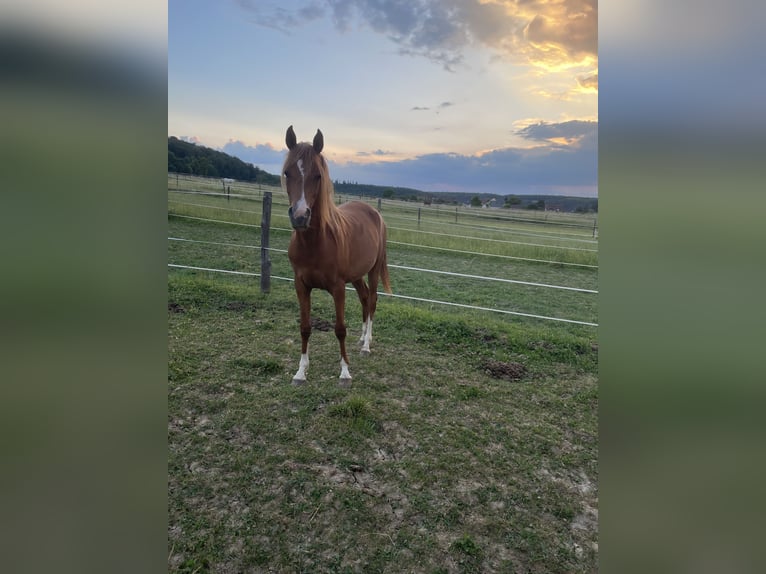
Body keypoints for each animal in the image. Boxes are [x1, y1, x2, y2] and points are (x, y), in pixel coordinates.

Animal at [282, 126, 392, 388]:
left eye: (318, 176)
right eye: (287, 172)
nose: (300, 217)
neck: (315, 243)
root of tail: (374, 212)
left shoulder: (338, 288)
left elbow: (340, 328)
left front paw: (344, 373)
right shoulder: (301, 285)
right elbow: (305, 327)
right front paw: (300, 372)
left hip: (373, 271)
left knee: (373, 299)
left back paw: (366, 345)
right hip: (357, 275)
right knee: (364, 298)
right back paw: (361, 338)